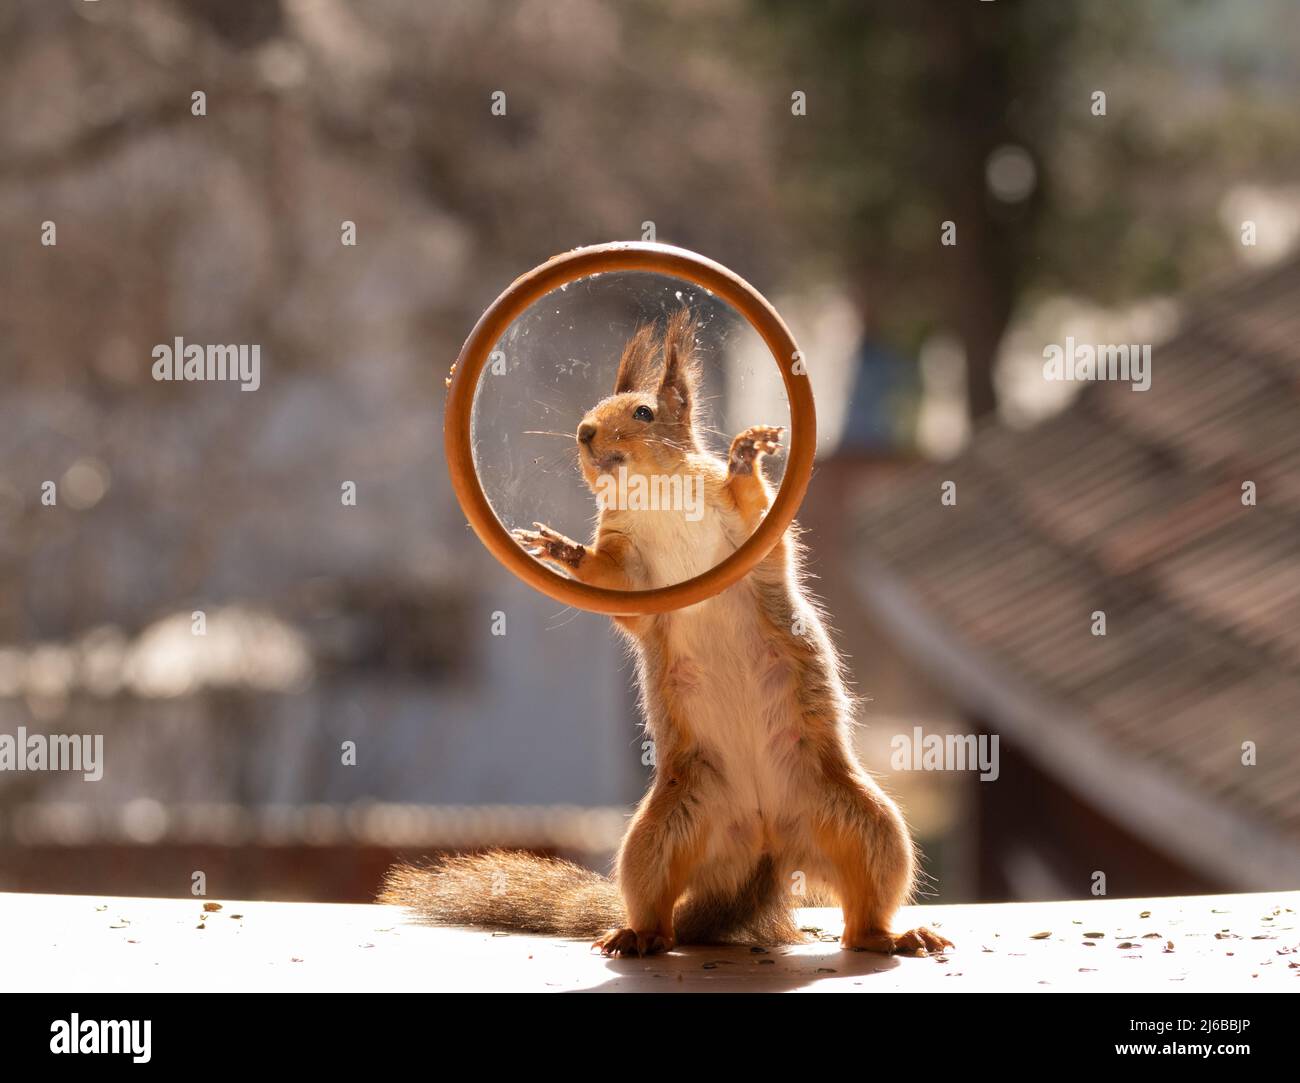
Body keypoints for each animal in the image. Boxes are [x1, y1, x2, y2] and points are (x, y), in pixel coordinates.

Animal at [382, 308, 952, 957]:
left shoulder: (746, 533)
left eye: (644, 413)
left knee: (863, 913)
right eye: (594, 408)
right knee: (660, 906)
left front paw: (746, 454)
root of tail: (766, 851)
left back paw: (899, 936)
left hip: (865, 826)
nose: (583, 433)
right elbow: (617, 586)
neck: (656, 493)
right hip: (663, 833)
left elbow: (757, 517)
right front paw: (563, 551)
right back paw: (635, 935)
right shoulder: (627, 561)